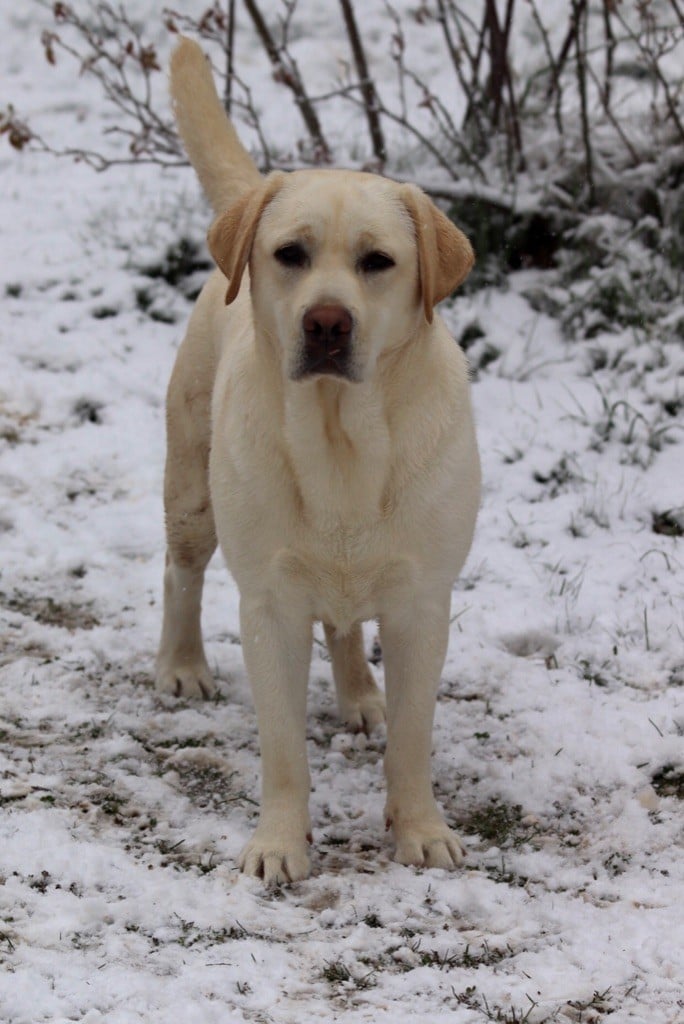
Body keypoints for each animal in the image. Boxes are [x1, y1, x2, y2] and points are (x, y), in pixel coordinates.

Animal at [158, 39, 481, 884]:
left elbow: (412, 739)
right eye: (290, 254)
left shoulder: (422, 604)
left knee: (343, 623)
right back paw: (181, 663)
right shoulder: (268, 605)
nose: (328, 322)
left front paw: (419, 830)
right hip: (191, 490)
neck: (342, 442)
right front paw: (278, 843)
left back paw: (359, 692)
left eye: (378, 262)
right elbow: (282, 750)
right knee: (181, 571)